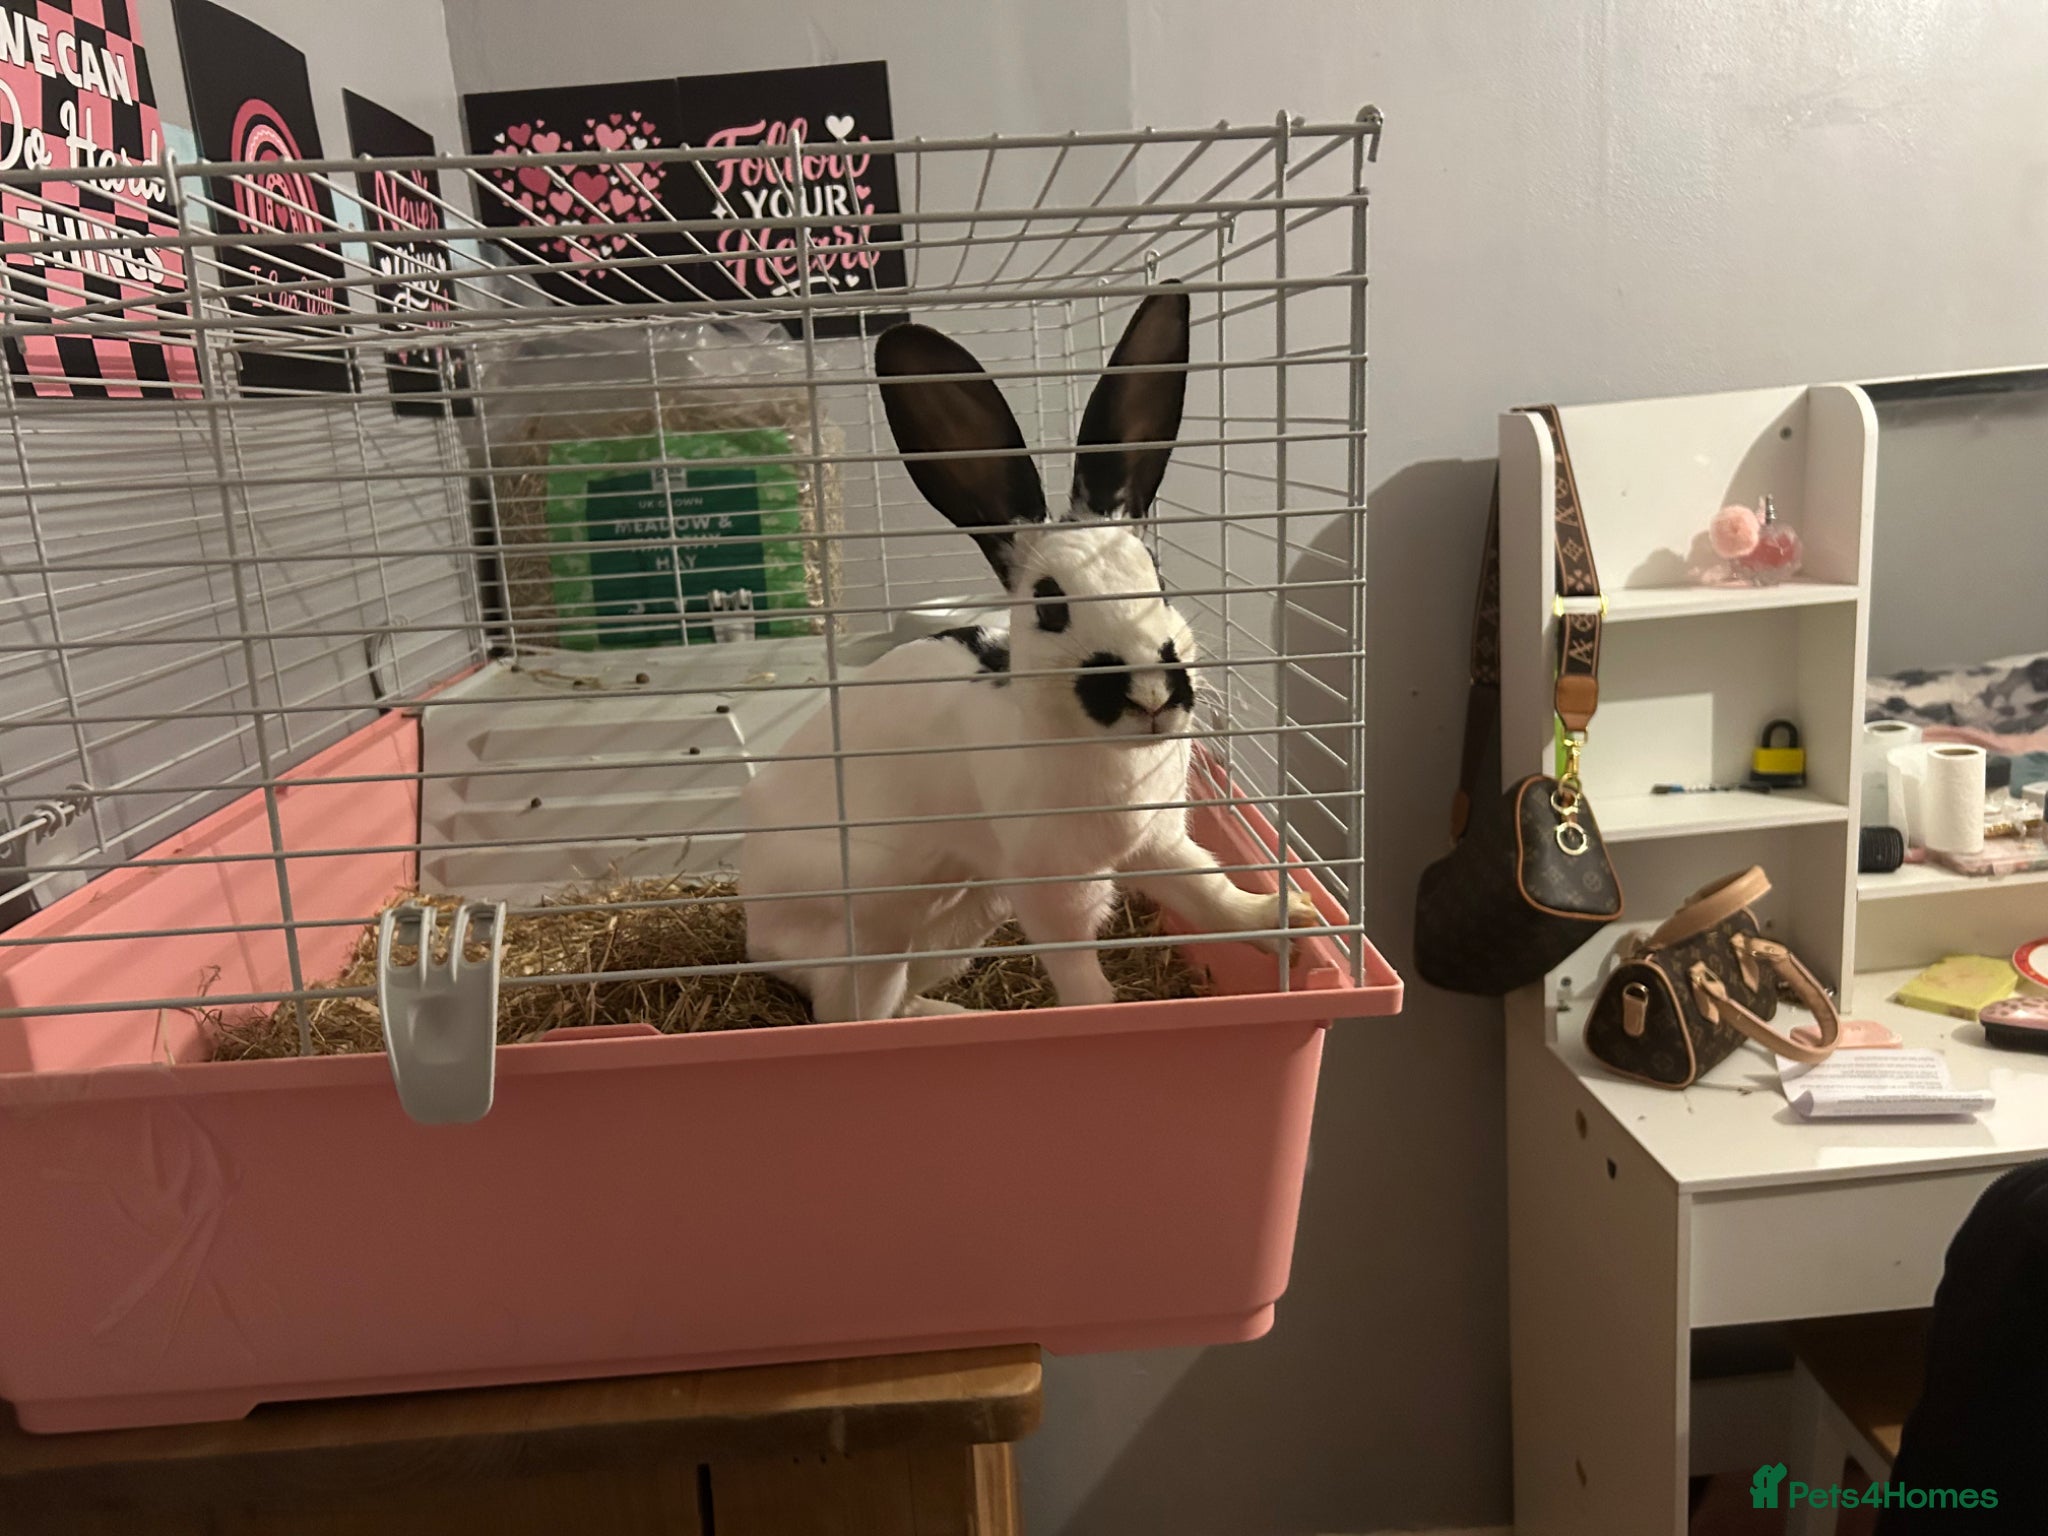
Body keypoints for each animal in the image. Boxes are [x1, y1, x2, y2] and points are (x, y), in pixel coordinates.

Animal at [738, 289, 1320, 1023]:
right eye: (1049, 606)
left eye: (1157, 579)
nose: (1151, 695)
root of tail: (755, 937)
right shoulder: (1053, 886)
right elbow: (1075, 964)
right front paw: (1102, 1014)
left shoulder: (1156, 842)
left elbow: (1205, 890)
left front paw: (1289, 920)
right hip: (874, 920)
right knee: (849, 1013)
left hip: (968, 914)